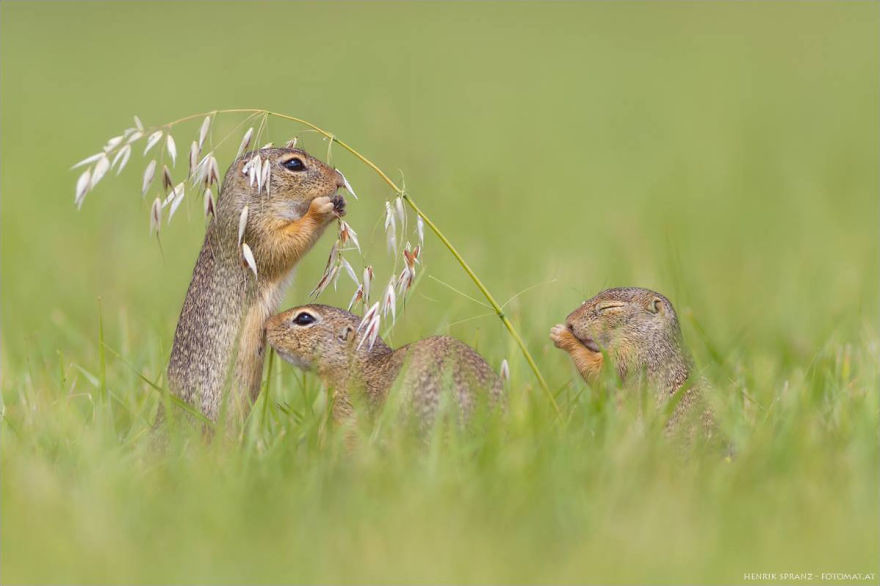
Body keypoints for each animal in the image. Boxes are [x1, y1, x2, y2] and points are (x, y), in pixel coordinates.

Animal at [167, 146, 346, 420]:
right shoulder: (256, 233)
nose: (339, 181)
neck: (247, 202)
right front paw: (321, 208)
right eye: (294, 164)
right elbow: (285, 243)